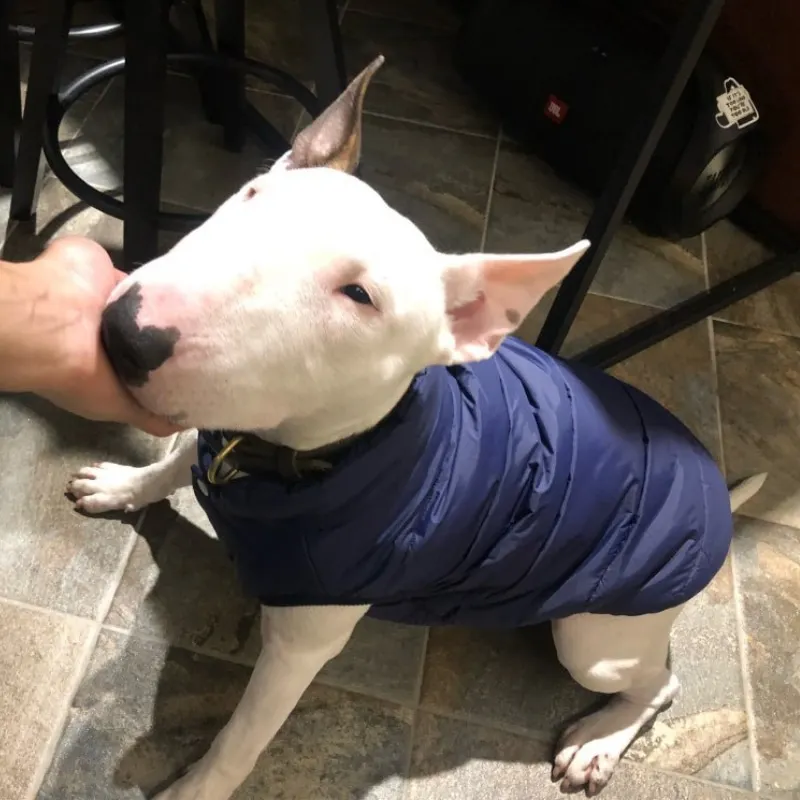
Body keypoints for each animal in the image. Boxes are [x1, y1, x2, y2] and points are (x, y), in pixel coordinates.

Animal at [68, 56, 766, 800]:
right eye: (252, 195)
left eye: (360, 297)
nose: (127, 334)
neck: (289, 458)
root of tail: (716, 494)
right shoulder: (219, 431)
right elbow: (174, 459)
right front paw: (123, 486)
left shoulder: (302, 644)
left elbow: (243, 736)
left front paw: (198, 787)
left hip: (595, 640)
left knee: (659, 683)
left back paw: (599, 741)